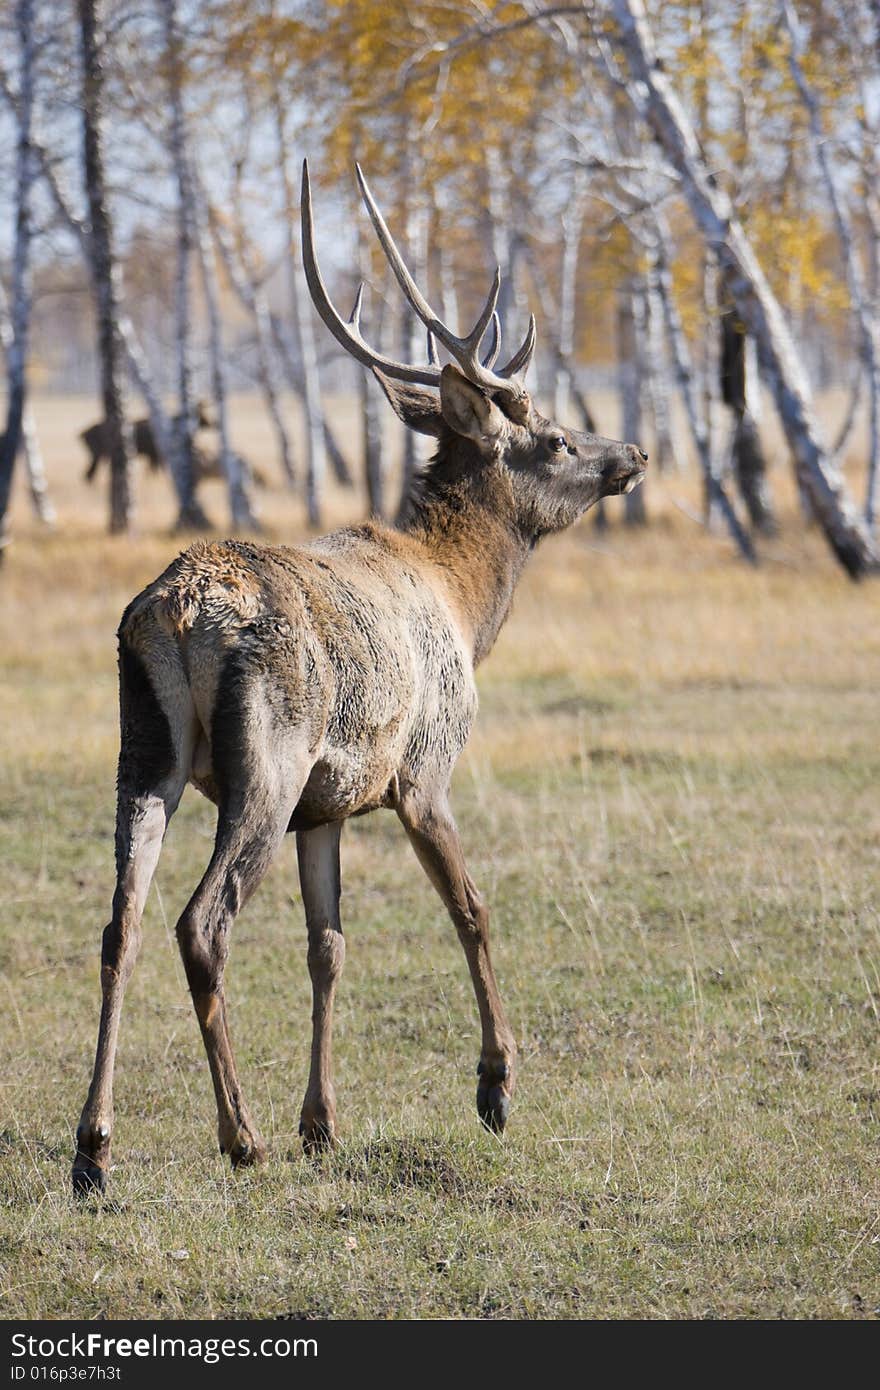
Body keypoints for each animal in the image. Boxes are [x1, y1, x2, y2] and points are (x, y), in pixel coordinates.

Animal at [70, 165, 645, 1195]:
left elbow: (328, 948)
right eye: (553, 439)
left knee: (119, 923)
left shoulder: (327, 807)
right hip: (267, 759)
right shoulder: (421, 771)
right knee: (200, 923)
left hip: (146, 750)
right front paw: (496, 1088)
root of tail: (174, 613)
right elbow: (473, 909)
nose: (632, 454)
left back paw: (93, 1149)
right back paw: (238, 1135)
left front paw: (323, 1121)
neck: (464, 599)